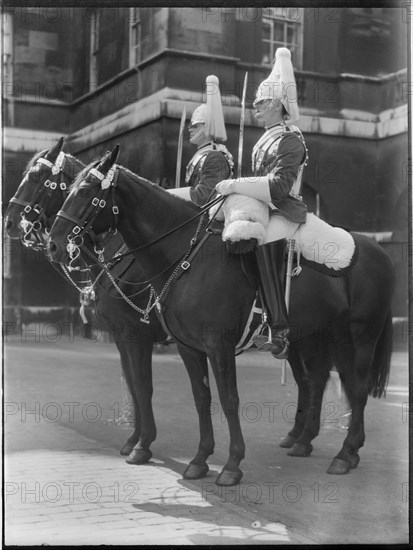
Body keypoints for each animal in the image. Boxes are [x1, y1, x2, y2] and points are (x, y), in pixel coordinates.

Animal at [4, 140, 166, 468]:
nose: (10, 222)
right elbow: (133, 385)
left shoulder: (137, 336)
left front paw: (143, 444)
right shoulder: (121, 338)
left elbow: (143, 386)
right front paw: (133, 439)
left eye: (37, 178)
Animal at [47, 148, 392, 488]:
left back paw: (345, 454)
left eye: (85, 190)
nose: (53, 244)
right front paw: (198, 459)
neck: (185, 257)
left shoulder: (210, 345)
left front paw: (230, 464)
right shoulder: (184, 346)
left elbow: (225, 399)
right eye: (67, 188)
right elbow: (198, 396)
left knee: (356, 386)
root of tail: (375, 248)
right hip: (323, 335)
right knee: (325, 380)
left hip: (361, 335)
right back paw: (309, 442)